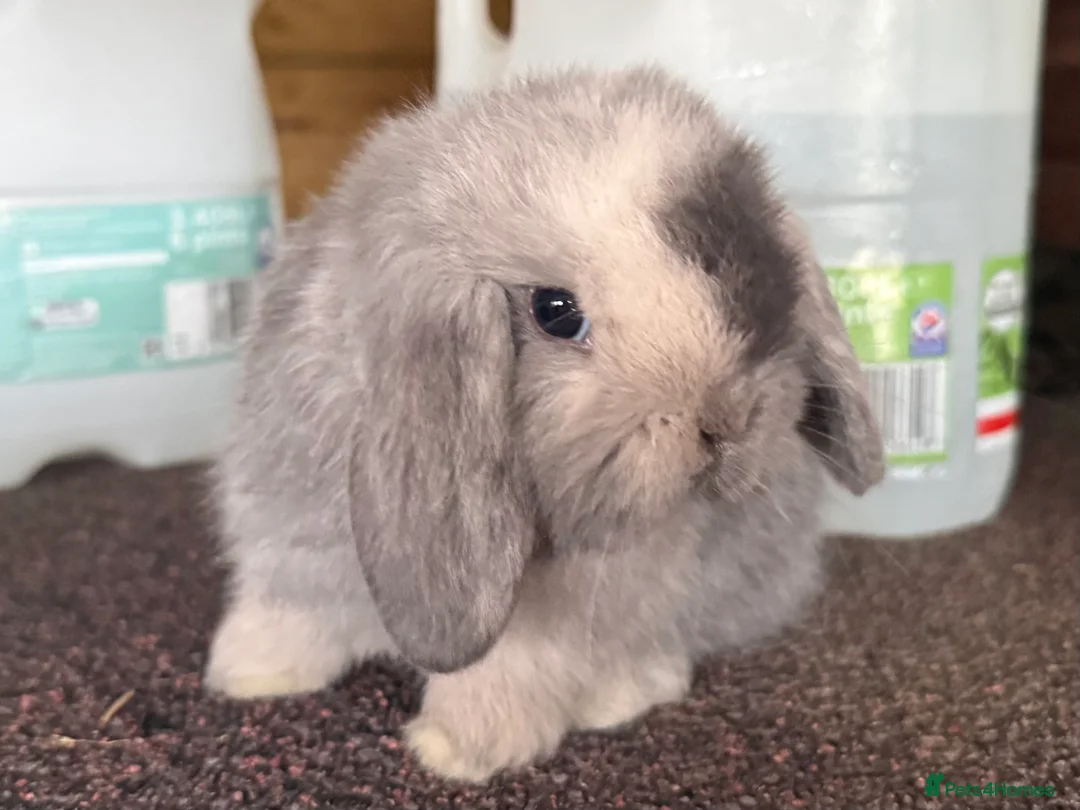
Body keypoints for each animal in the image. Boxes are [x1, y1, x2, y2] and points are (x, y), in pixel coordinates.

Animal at [202, 64, 885, 783]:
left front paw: (457, 750)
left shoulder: (572, 611)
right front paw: (250, 675)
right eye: (555, 312)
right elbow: (291, 611)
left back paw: (617, 698)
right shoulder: (287, 542)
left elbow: (506, 676)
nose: (727, 421)